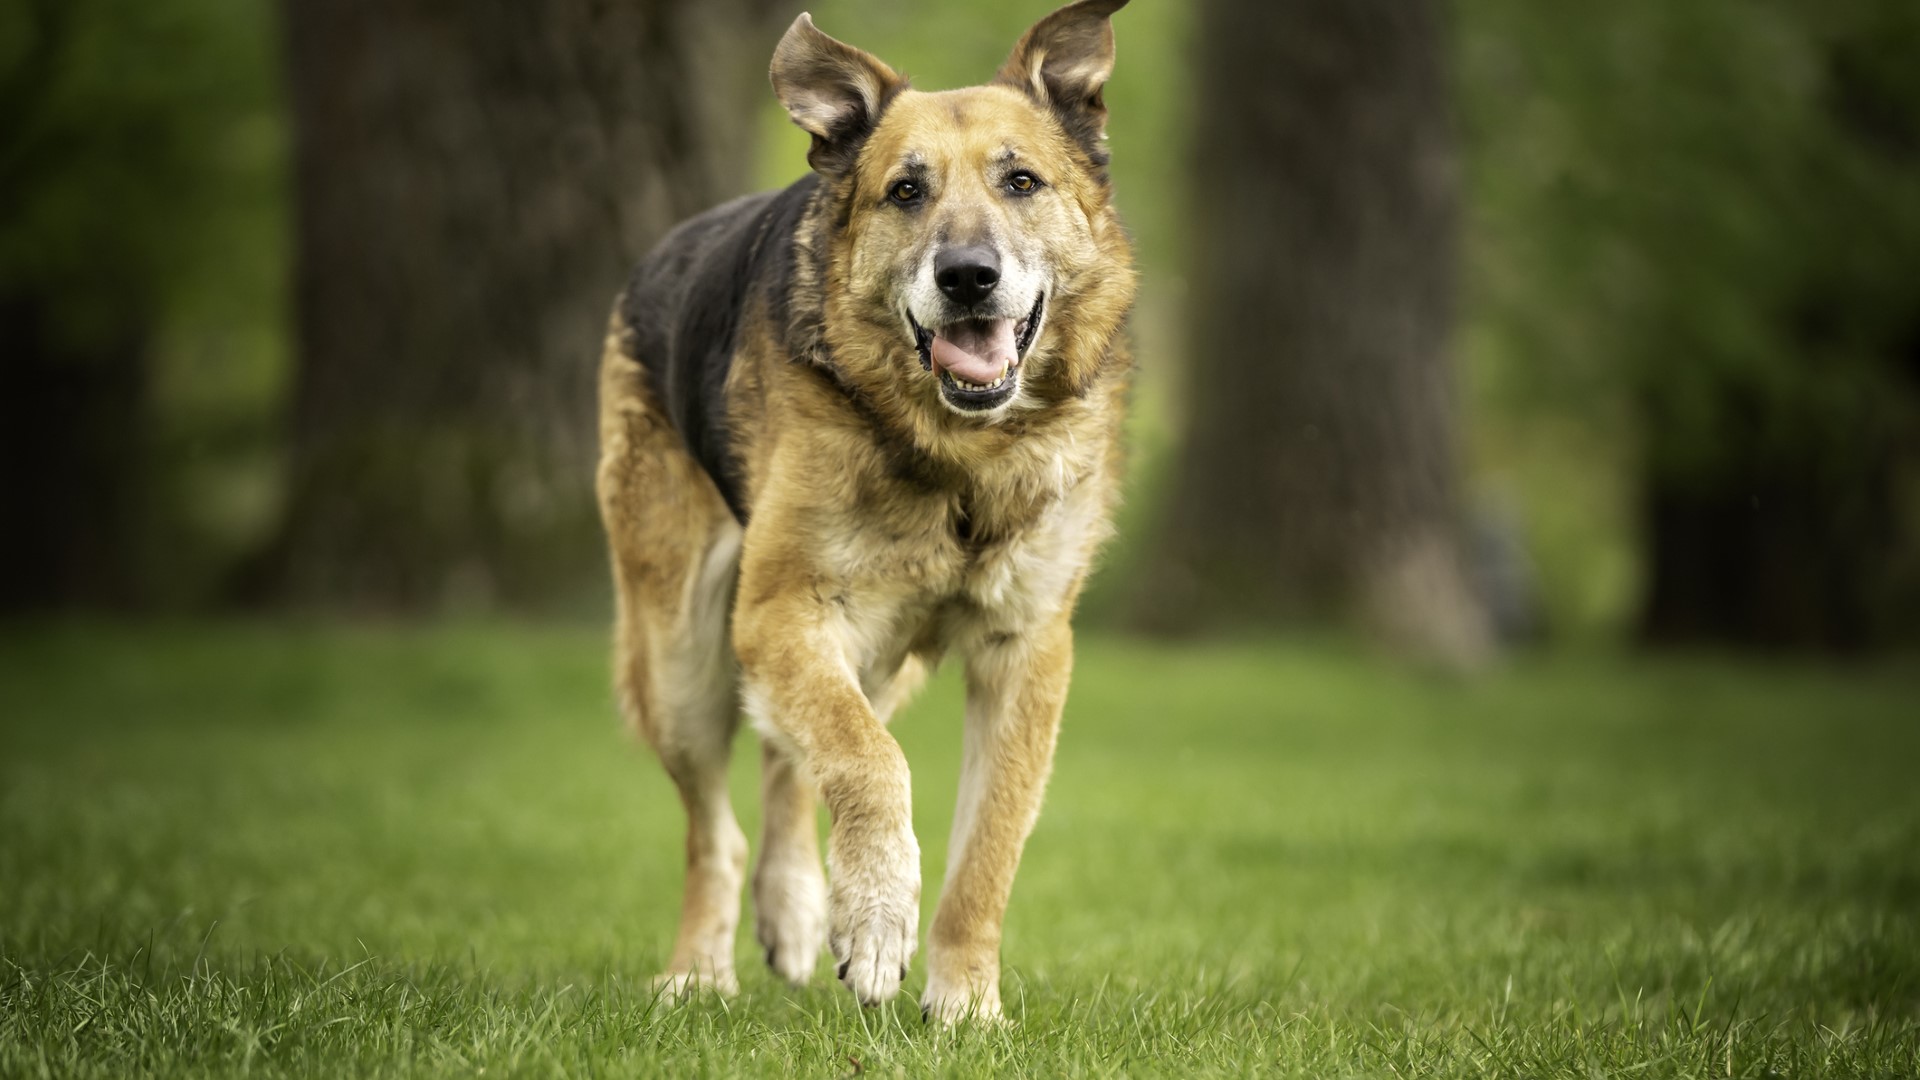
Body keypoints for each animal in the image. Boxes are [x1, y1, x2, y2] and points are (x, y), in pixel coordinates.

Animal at [599, 0, 1128, 1014]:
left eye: (1022, 181)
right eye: (905, 192)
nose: (968, 276)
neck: (960, 457)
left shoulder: (1026, 650)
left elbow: (988, 844)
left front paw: (965, 1001)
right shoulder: (781, 612)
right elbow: (867, 762)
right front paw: (879, 920)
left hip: (882, 661)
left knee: (784, 762)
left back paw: (797, 906)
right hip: (684, 651)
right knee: (716, 827)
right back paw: (699, 970)